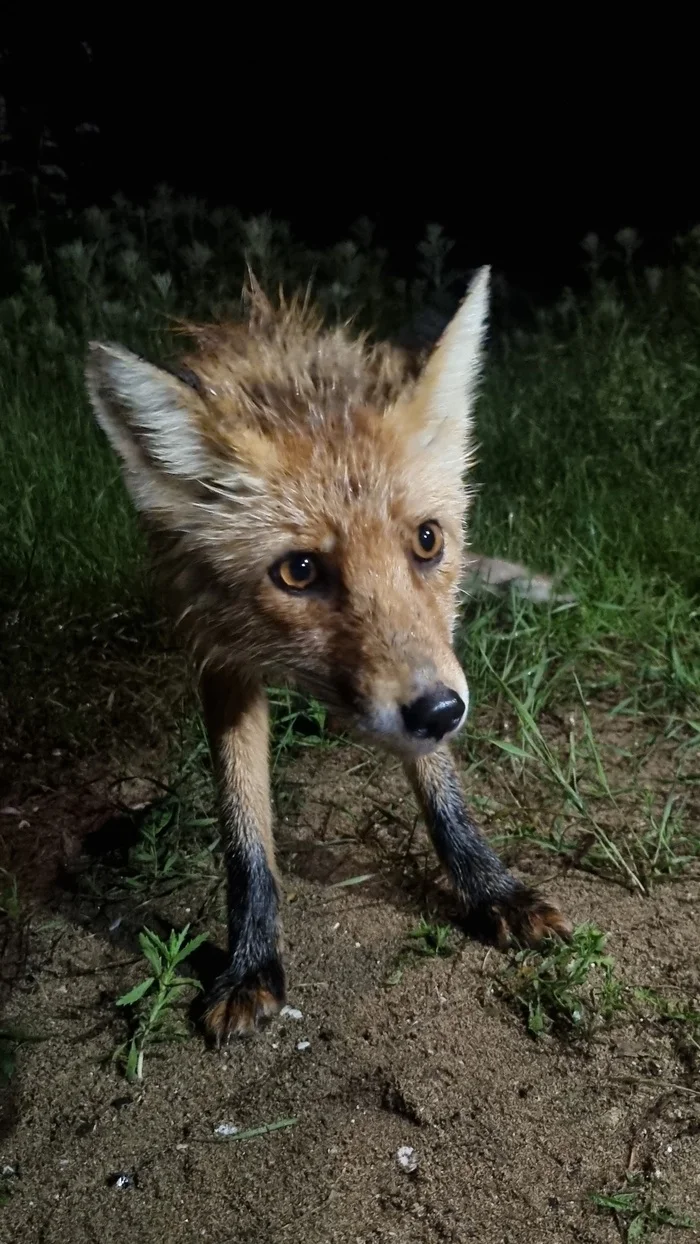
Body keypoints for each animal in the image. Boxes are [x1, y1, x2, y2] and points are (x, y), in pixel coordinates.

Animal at [85, 267, 571, 1044]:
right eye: (300, 572)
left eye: (428, 540)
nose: (440, 710)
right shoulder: (218, 650)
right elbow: (244, 828)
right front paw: (251, 962)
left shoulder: (430, 661)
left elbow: (440, 787)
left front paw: (490, 889)